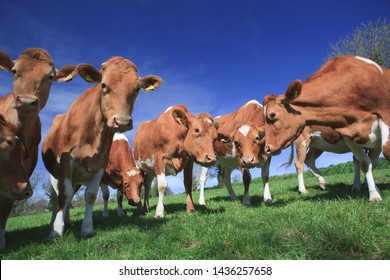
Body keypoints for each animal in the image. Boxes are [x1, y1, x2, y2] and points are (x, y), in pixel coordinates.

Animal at [42, 57, 163, 238]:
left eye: (136, 89)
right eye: (103, 85)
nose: (122, 121)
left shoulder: (100, 165)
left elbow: (93, 196)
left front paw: (88, 227)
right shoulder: (68, 163)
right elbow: (92, 195)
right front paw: (57, 230)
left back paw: (68, 220)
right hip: (55, 175)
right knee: (58, 197)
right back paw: (55, 223)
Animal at [262, 55, 390, 202]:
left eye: (272, 115)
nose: (267, 148)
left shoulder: (380, 120)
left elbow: (370, 161)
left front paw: (370, 189)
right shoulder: (349, 133)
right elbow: (365, 162)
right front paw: (372, 193)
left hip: (317, 144)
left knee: (309, 159)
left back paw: (321, 182)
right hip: (303, 141)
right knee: (299, 162)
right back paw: (303, 189)